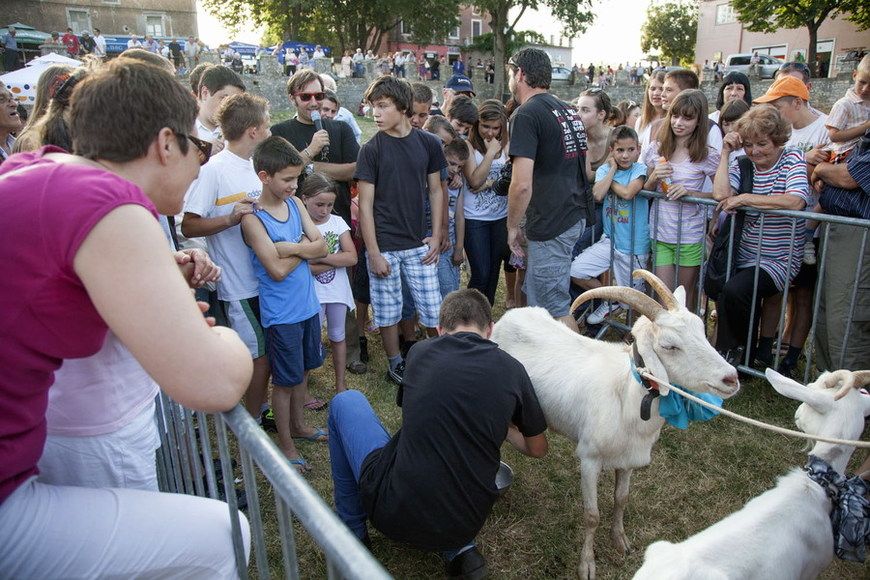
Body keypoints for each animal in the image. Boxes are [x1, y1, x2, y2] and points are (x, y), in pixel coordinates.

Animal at [494, 270, 740, 576]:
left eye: (702, 331)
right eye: (669, 346)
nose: (731, 378)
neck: (625, 395)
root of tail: (510, 316)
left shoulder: (628, 459)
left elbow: (621, 499)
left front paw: (620, 541)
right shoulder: (589, 458)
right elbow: (591, 515)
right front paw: (587, 565)